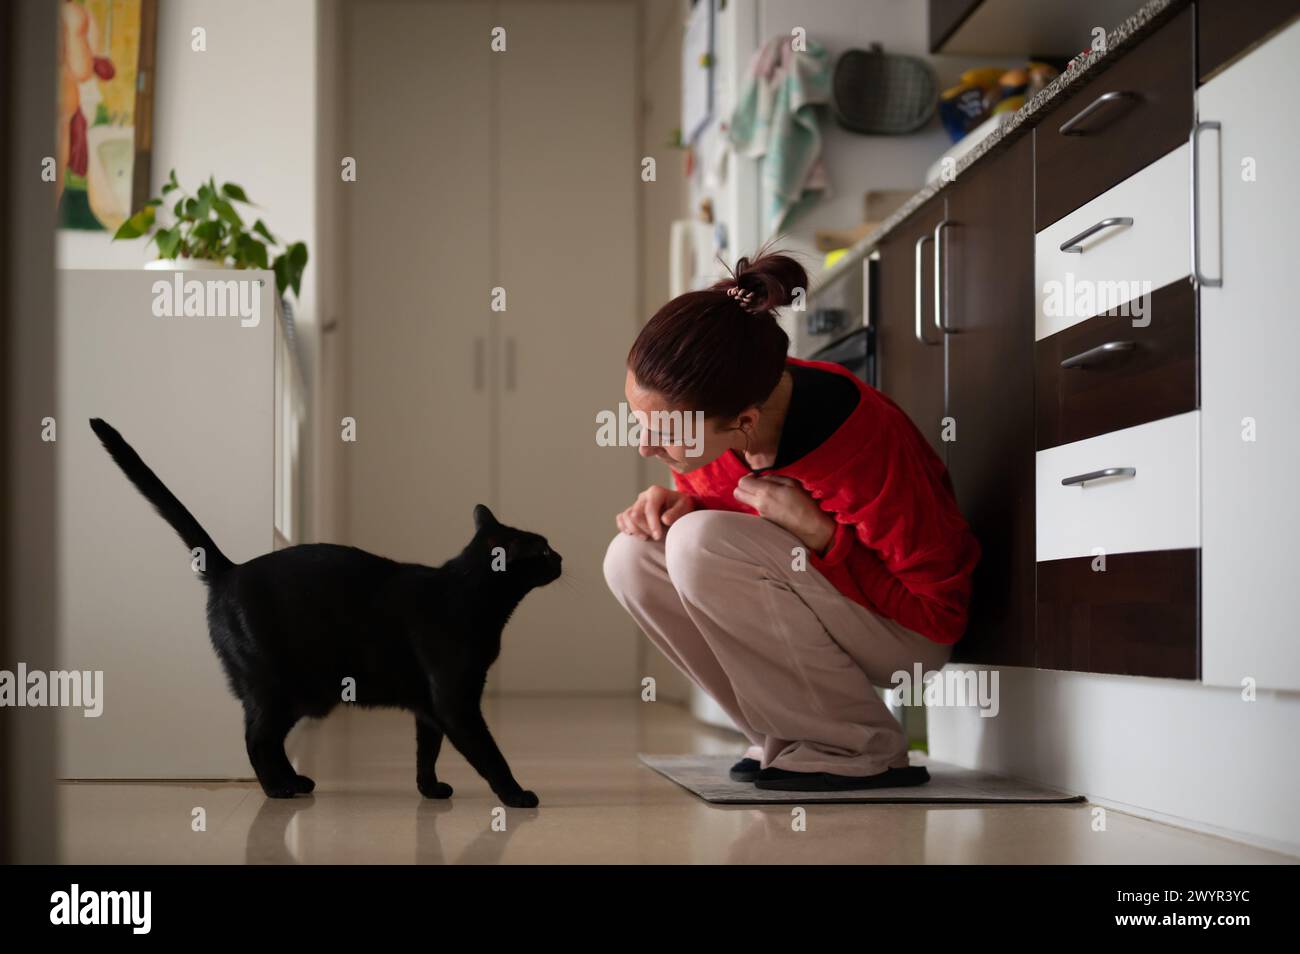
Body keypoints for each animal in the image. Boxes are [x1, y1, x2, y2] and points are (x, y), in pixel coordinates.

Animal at [87, 418, 559, 805]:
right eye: (542, 549)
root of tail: (229, 570)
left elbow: (427, 751)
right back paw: (278, 789)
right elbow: (489, 753)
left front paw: (430, 790)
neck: (471, 595)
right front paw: (516, 795)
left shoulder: (430, 706)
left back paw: (295, 782)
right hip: (279, 686)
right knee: (256, 739)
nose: (561, 557)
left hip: (297, 693)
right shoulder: (455, 700)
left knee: (268, 739)